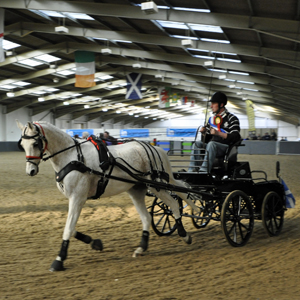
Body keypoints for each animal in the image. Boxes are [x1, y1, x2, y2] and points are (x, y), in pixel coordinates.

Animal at [17, 120, 199, 270]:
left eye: (35, 143)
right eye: (22, 145)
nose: (30, 171)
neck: (73, 157)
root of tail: (156, 147)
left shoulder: (77, 198)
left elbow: (68, 228)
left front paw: (59, 259)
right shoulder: (74, 199)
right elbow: (71, 227)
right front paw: (95, 243)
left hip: (156, 186)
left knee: (174, 203)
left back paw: (184, 235)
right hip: (136, 190)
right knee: (147, 217)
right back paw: (141, 248)